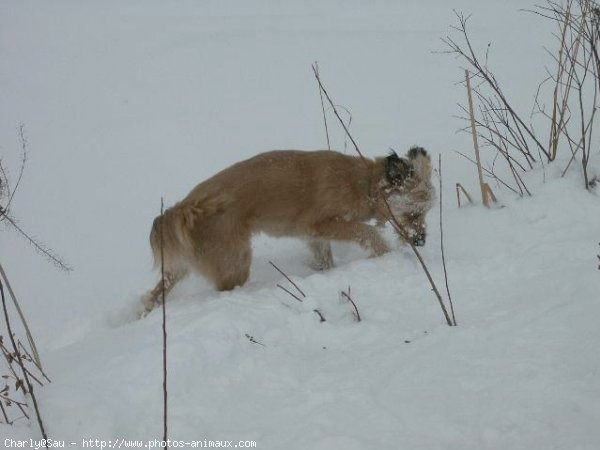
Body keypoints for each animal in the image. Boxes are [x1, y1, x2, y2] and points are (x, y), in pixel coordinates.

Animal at [143, 146, 434, 312]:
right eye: (414, 213)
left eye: (426, 213)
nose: (421, 240)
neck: (362, 183)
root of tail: (187, 206)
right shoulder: (322, 223)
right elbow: (366, 231)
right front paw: (383, 253)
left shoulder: (315, 236)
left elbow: (324, 258)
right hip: (235, 263)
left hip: (183, 267)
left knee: (153, 294)